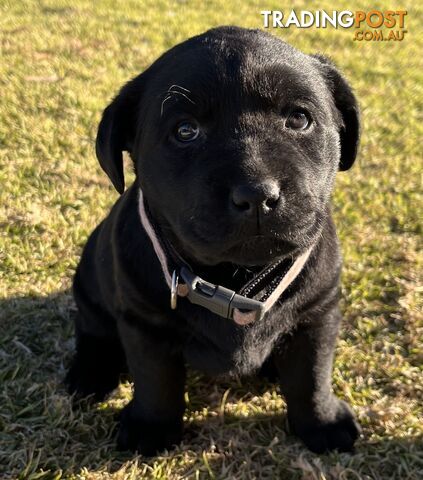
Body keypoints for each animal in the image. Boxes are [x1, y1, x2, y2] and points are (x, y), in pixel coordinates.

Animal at [65, 25, 362, 454]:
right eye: (185, 131)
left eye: (299, 119)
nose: (256, 194)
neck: (236, 283)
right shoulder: (144, 324)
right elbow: (156, 383)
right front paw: (151, 429)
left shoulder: (318, 314)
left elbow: (312, 376)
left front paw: (323, 422)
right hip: (90, 283)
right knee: (93, 330)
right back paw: (91, 374)